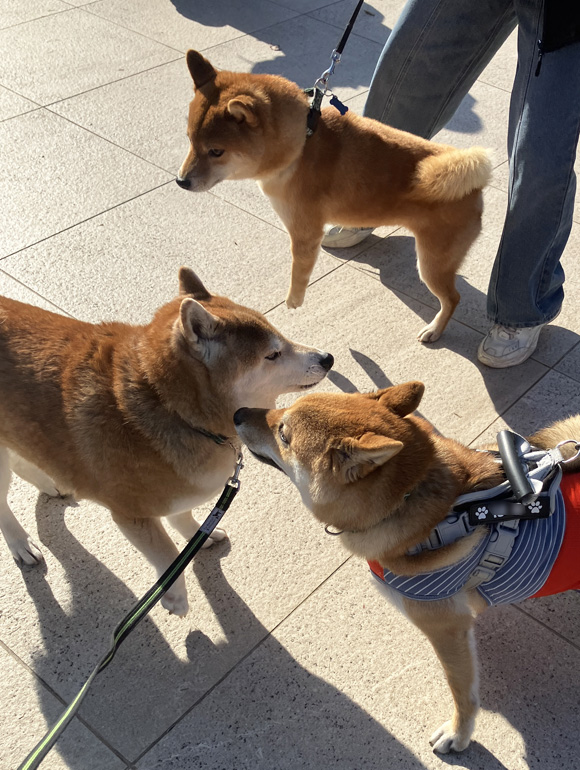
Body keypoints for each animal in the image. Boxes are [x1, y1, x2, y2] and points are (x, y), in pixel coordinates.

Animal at [0, 267, 333, 616]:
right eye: (273, 354)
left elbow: (182, 516)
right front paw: (174, 594)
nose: (328, 359)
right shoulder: (131, 515)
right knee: (2, 502)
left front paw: (198, 535)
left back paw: (50, 484)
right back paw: (20, 542)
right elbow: (165, 552)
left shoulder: (180, 489)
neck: (171, 409)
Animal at [177, 51, 492, 343]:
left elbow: (299, 272)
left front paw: (294, 300)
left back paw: (435, 329)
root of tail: (474, 181)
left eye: (216, 151)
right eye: (189, 139)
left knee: (452, 299)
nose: (181, 181)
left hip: (432, 264)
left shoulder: (305, 234)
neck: (302, 143)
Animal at [233, 382, 580, 752]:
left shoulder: (447, 630)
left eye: (283, 435)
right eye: (283, 411)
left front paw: (459, 733)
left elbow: (462, 693)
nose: (238, 413)